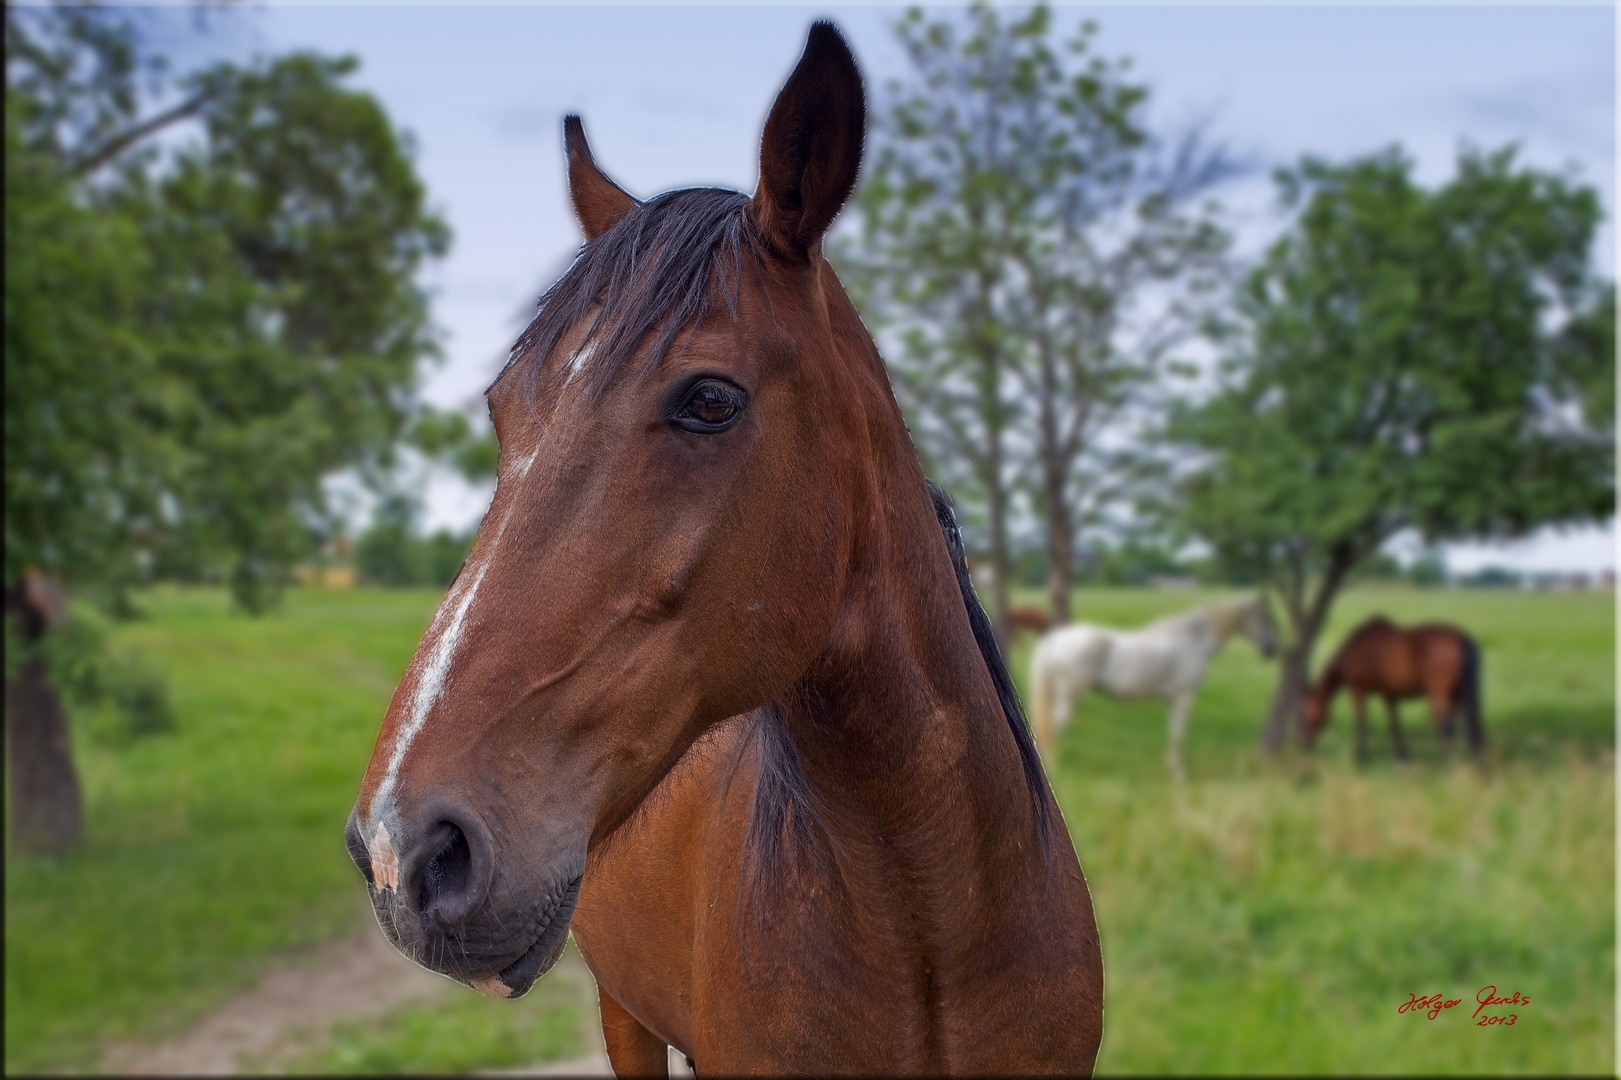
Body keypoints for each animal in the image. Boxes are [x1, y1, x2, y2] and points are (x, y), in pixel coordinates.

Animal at [1024, 593, 1277, 778]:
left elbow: (1173, 734)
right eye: (1267, 618)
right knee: (1054, 727)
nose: (1271, 650)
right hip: (1070, 694)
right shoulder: (1183, 698)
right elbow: (1179, 735)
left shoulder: (1172, 701)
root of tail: (1055, 640)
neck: (1193, 640)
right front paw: (1178, 773)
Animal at [1303, 612, 1484, 755]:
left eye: (1308, 713)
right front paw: (1402, 757)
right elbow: (1394, 725)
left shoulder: (1358, 689)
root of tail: (1458, 637)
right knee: (1456, 725)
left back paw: (1449, 767)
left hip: (1438, 695)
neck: (1356, 648)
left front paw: (1361, 756)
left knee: (1445, 727)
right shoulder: (1389, 694)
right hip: (1456, 696)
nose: (1307, 743)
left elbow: (1361, 721)